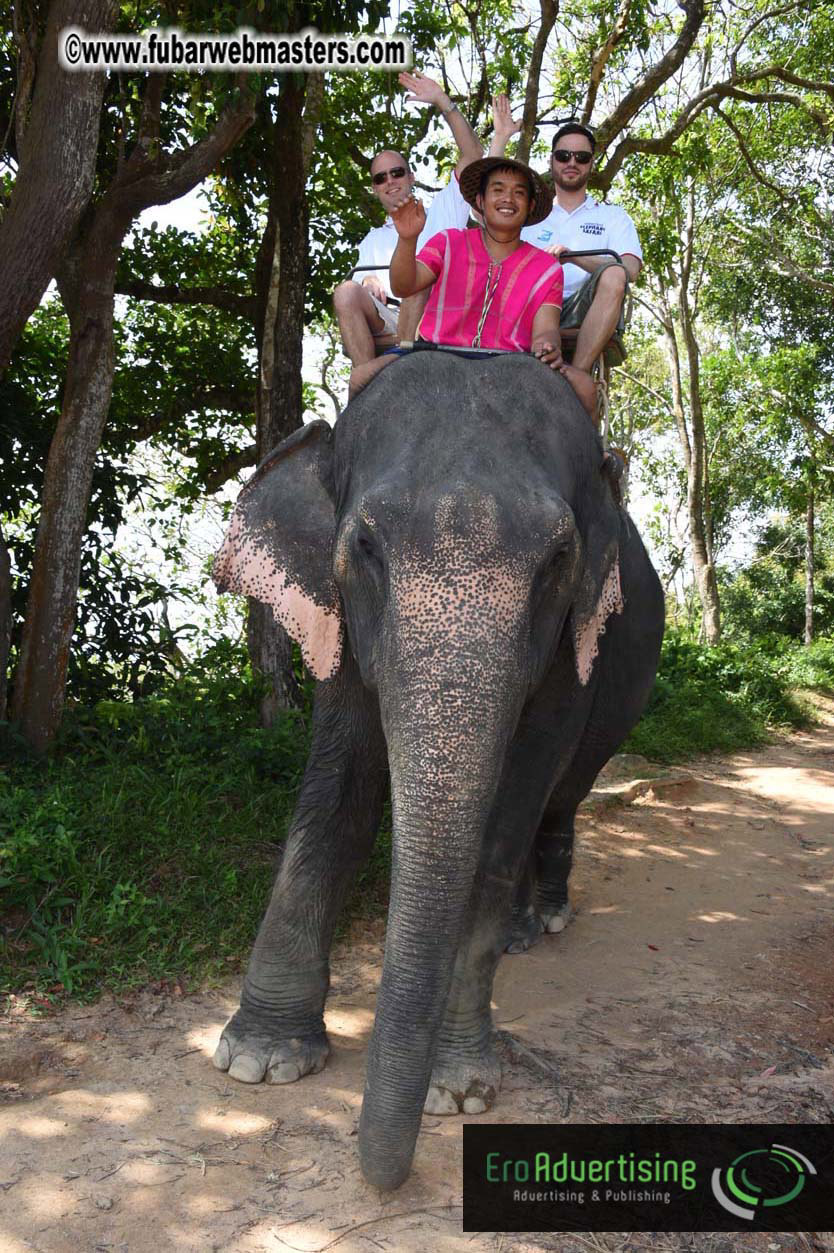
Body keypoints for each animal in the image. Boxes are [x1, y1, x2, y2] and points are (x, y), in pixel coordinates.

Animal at [211, 351, 664, 1192]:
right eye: (364, 545)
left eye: (559, 558)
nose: (383, 1175)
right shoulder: (343, 621)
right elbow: (338, 786)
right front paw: (261, 1058)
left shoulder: (567, 647)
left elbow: (509, 810)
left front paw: (459, 1090)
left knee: (561, 797)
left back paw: (542, 919)